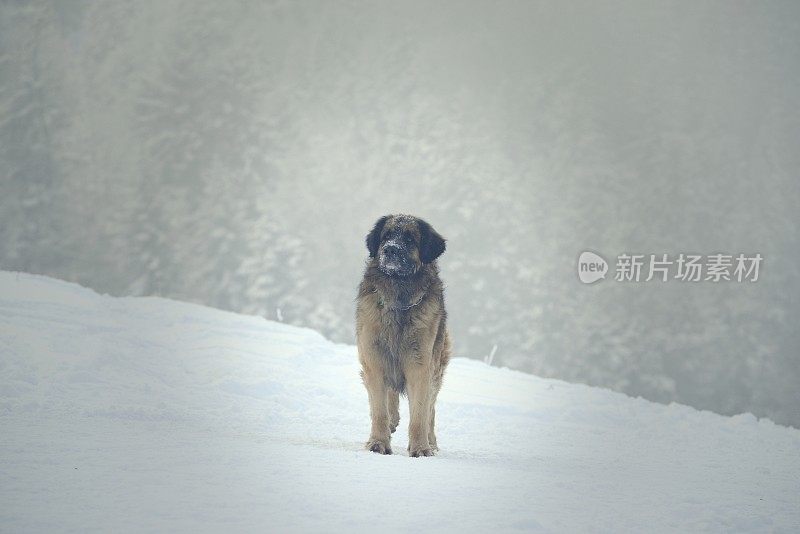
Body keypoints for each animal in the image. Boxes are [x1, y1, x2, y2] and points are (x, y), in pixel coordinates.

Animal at [356, 216, 450, 458]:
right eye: (386, 236)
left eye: (409, 240)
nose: (390, 249)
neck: (399, 298)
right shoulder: (374, 359)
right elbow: (379, 410)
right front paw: (378, 443)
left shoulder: (420, 365)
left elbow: (420, 415)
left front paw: (420, 448)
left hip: (436, 368)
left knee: (430, 410)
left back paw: (431, 443)